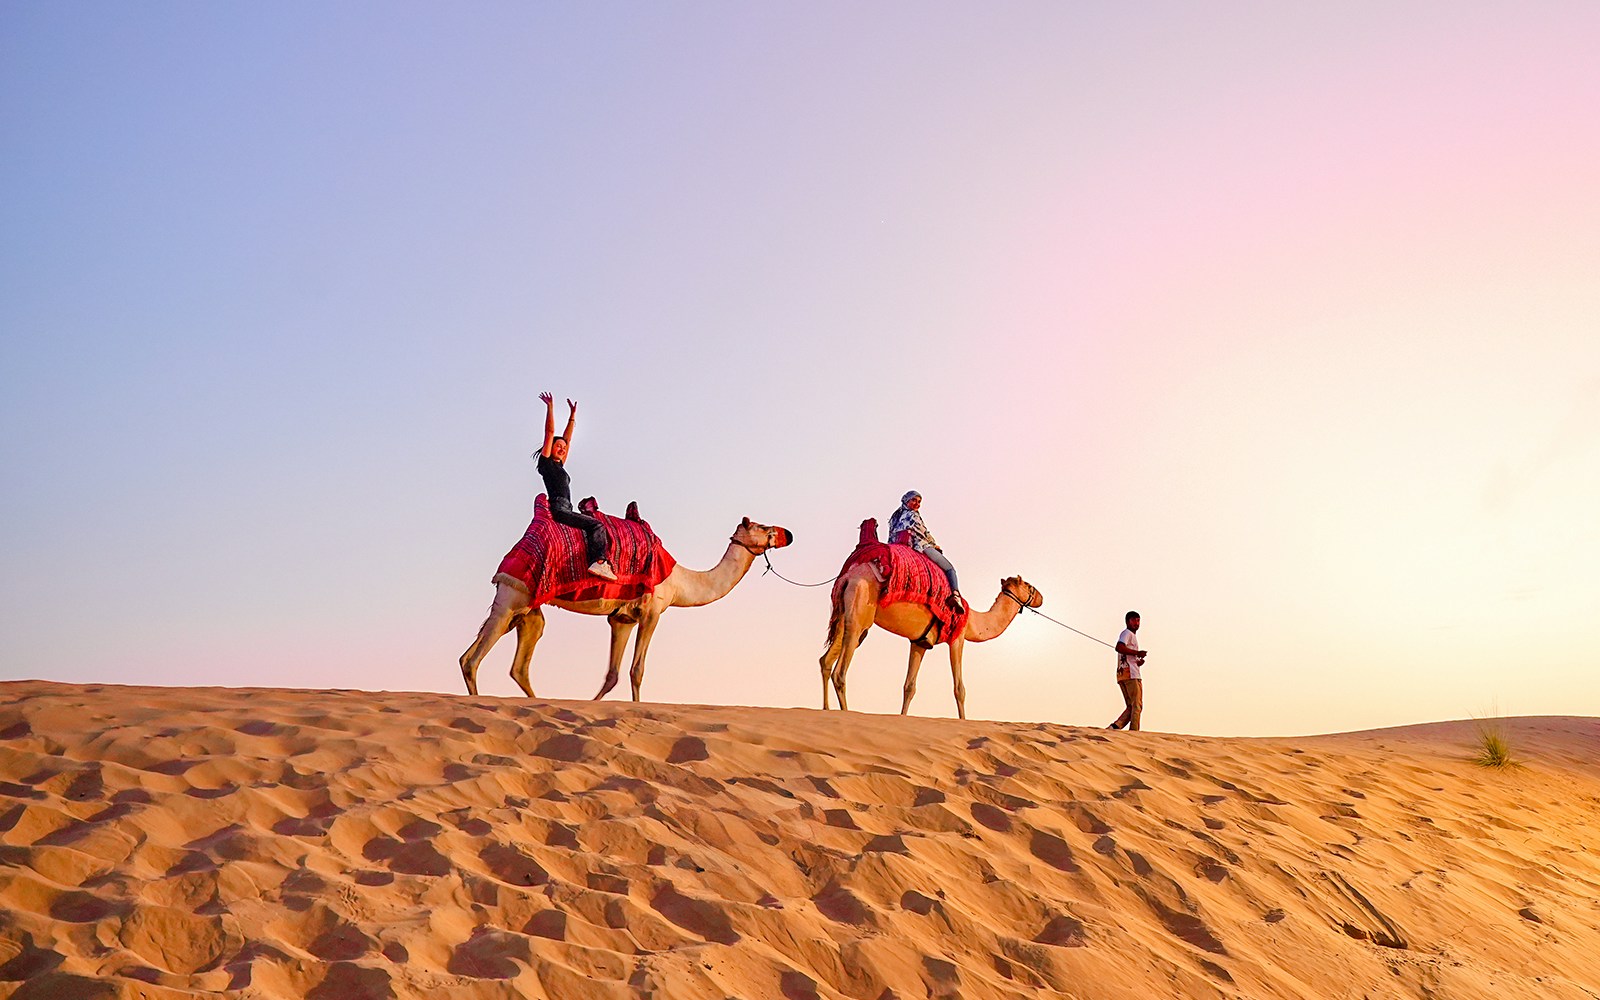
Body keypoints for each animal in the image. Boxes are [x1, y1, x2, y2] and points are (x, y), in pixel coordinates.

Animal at [459, 515, 793, 700]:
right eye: (764, 526)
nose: (788, 533)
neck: (679, 581)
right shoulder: (652, 612)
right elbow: (636, 671)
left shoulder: (622, 619)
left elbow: (612, 674)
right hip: (513, 596)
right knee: (474, 659)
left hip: (525, 611)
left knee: (511, 662)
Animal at [819, 556, 1042, 720]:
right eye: (1029, 585)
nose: (1041, 597)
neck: (973, 621)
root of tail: (848, 577)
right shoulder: (958, 638)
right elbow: (959, 689)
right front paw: (963, 721)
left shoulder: (919, 642)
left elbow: (909, 686)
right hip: (860, 611)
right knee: (840, 672)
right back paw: (846, 714)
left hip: (844, 617)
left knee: (825, 661)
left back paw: (826, 709)